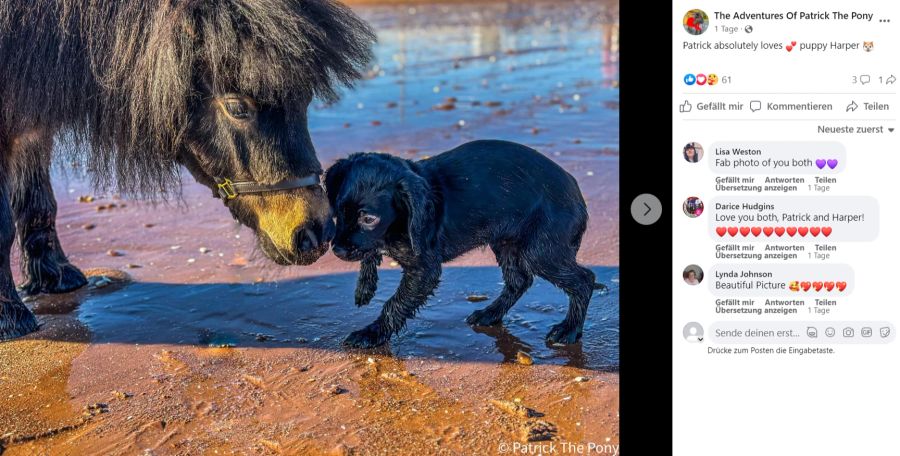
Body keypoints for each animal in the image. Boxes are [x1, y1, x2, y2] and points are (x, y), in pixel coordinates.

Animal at [324, 141, 604, 348]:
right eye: (339, 210)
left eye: (369, 219)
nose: (337, 250)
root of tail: (575, 191)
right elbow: (369, 251)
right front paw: (365, 287)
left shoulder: (425, 269)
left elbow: (395, 303)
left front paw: (371, 334)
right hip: (506, 242)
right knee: (519, 280)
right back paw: (490, 313)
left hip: (541, 250)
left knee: (584, 279)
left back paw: (569, 329)